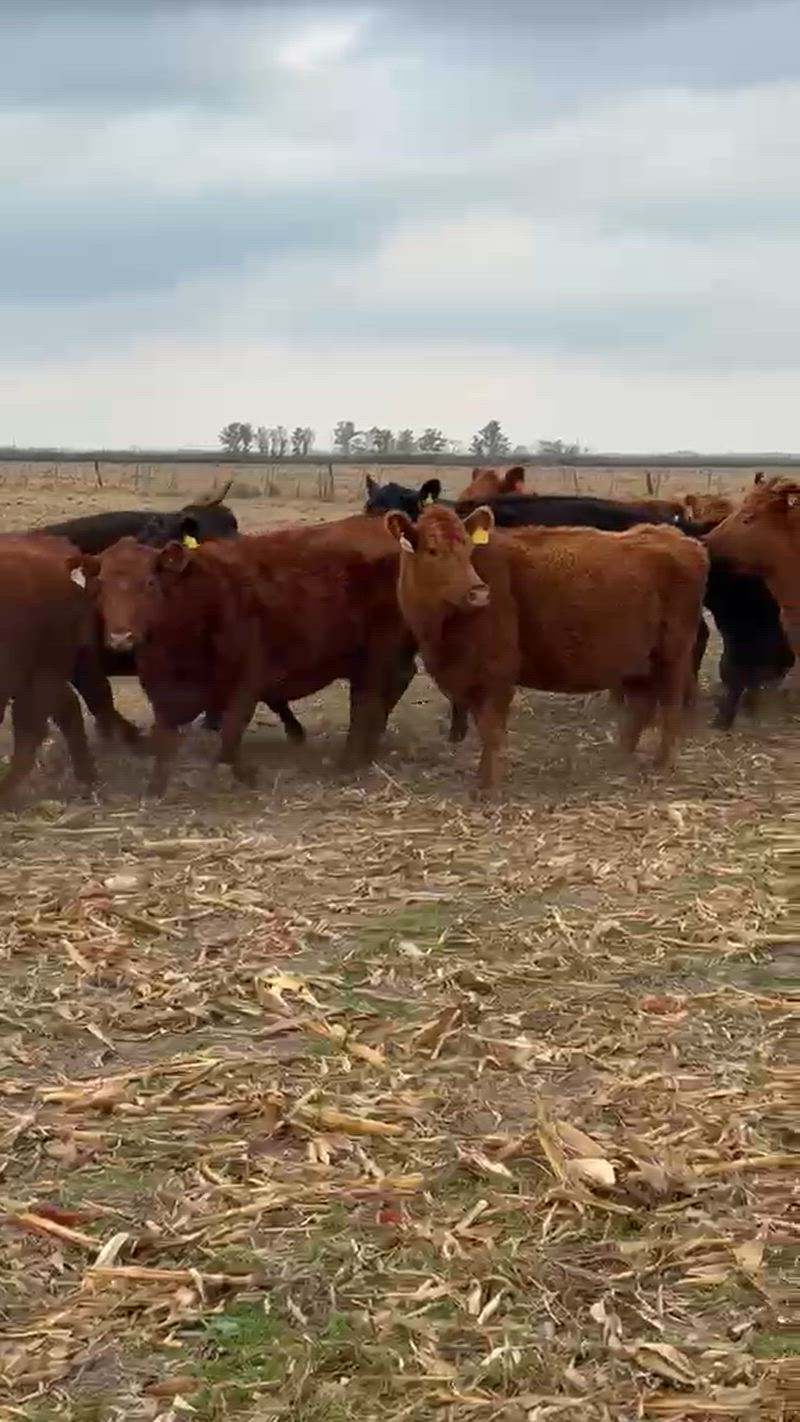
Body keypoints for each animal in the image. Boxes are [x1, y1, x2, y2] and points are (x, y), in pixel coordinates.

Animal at [73, 517, 416, 797]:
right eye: (100, 587)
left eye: (149, 583)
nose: (121, 637)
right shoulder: (163, 691)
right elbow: (165, 741)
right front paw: (156, 789)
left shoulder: (246, 681)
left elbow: (229, 736)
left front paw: (246, 775)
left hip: (378, 651)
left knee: (367, 699)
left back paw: (350, 759)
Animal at [384, 504, 708, 795]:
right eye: (432, 550)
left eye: (468, 549)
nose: (478, 592)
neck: (440, 629)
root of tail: (680, 538)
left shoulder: (497, 675)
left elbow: (491, 731)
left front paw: (489, 787)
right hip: (636, 661)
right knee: (640, 707)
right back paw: (621, 757)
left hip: (671, 656)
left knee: (670, 705)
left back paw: (661, 763)